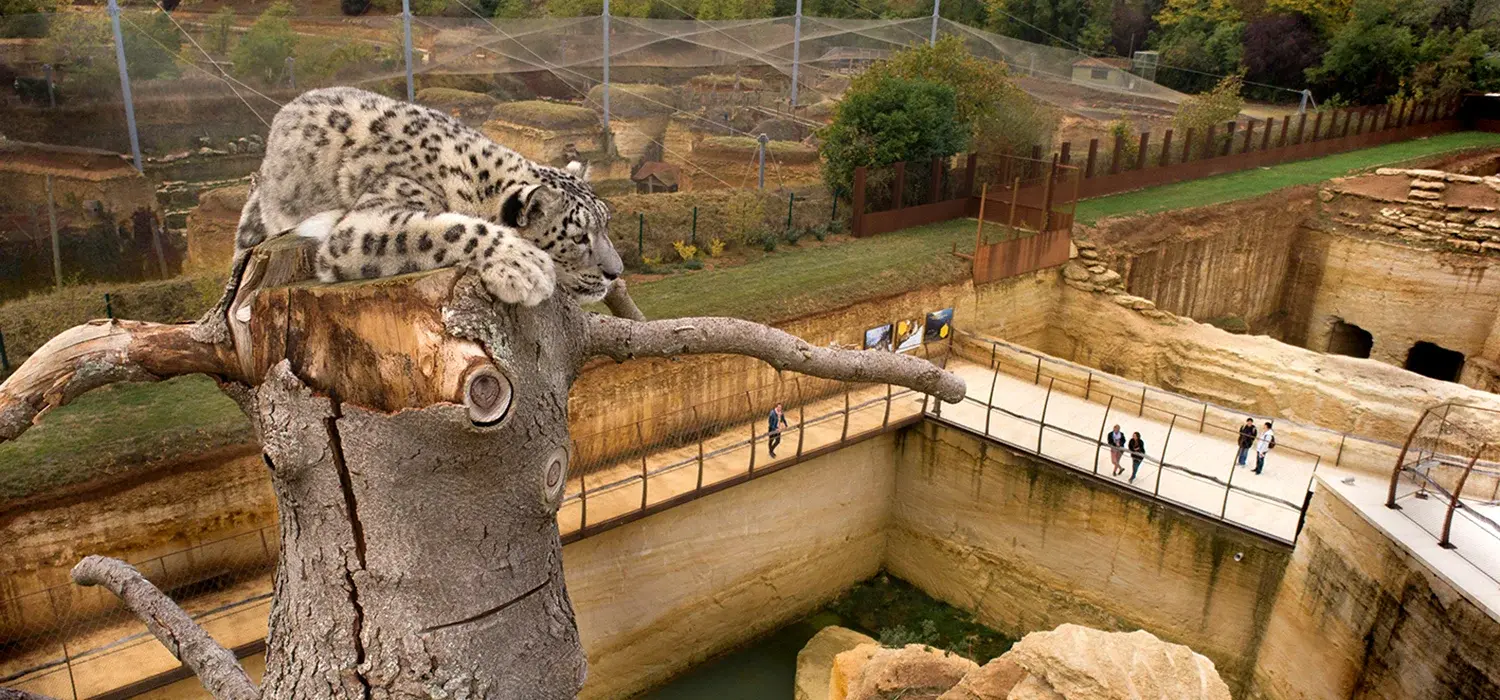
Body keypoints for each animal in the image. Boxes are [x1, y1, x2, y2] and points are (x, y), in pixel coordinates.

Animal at [216, 85, 621, 323]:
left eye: (605, 224)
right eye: (579, 237)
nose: (615, 273)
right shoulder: (361, 225)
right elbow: (448, 228)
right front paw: (524, 267)